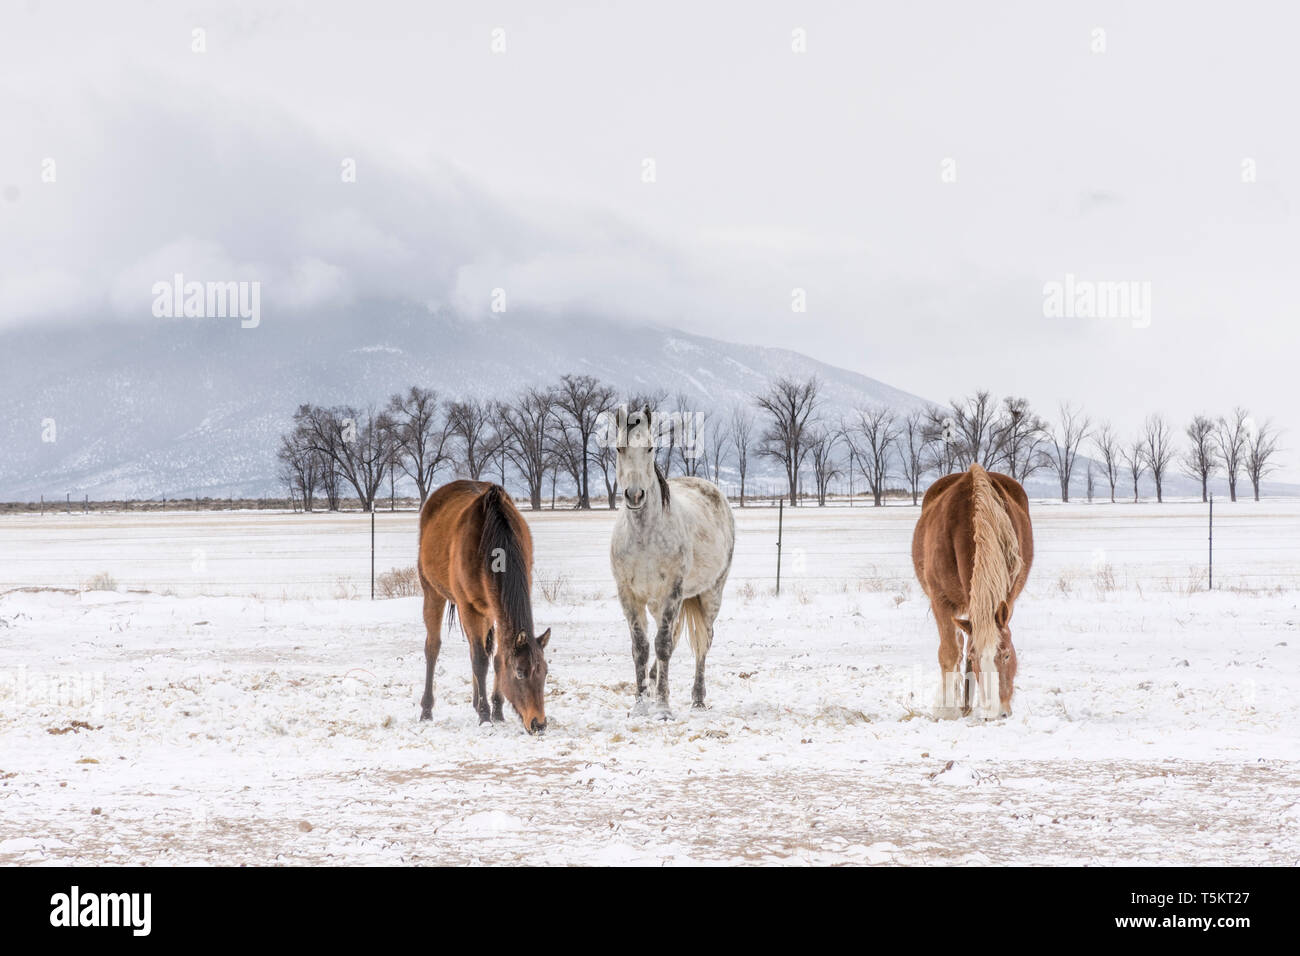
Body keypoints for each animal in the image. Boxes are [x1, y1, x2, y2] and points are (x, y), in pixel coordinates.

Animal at [416, 480, 551, 734]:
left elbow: (496, 658)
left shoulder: (495, 609)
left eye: (545, 671)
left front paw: (496, 710)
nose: (538, 723)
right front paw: (486, 715)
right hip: (433, 593)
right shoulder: (469, 607)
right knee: (433, 648)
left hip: (486, 610)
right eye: (520, 672)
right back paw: (427, 710)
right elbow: (480, 660)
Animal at [610, 405, 735, 717]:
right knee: (674, 638)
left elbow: (663, 645)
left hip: (710, 594)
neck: (644, 535)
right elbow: (641, 648)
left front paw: (663, 707)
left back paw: (698, 698)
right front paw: (641, 705)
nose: (635, 495)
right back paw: (655, 681)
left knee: (704, 641)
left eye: (651, 447)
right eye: (619, 448)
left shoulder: (672, 593)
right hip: (658, 604)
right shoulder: (628, 595)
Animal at [911, 463, 1033, 719]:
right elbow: (950, 652)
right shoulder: (940, 600)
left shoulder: (1006, 599)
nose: (997, 713)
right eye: (976, 658)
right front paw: (947, 709)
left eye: (1006, 655)